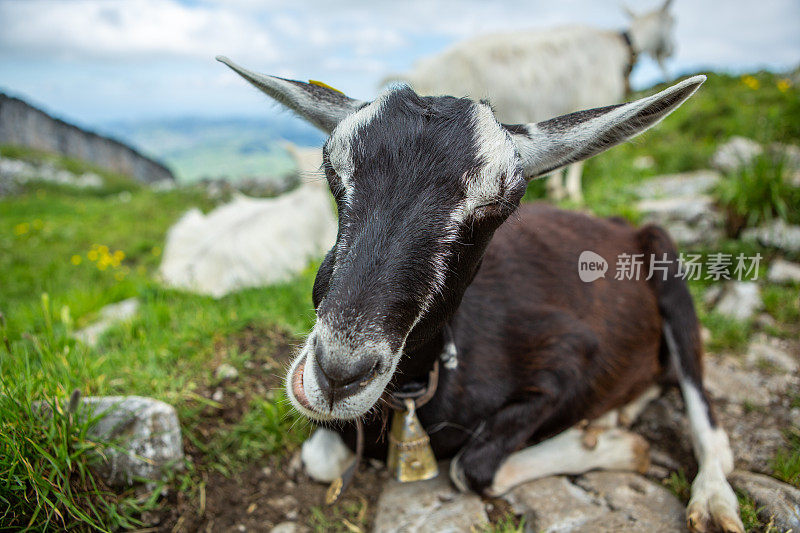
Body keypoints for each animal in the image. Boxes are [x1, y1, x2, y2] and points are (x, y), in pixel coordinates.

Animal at [219, 55, 744, 532]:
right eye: (332, 167)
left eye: (502, 203)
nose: (338, 374)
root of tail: (620, 226)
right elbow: (321, 458)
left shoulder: (572, 358)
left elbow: (469, 468)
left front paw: (617, 444)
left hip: (671, 275)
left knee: (706, 417)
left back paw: (709, 498)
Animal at [390, 0, 680, 202]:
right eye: (672, 21)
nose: (672, 51)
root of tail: (418, 70)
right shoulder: (590, 97)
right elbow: (579, 161)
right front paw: (573, 194)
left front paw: (556, 190)